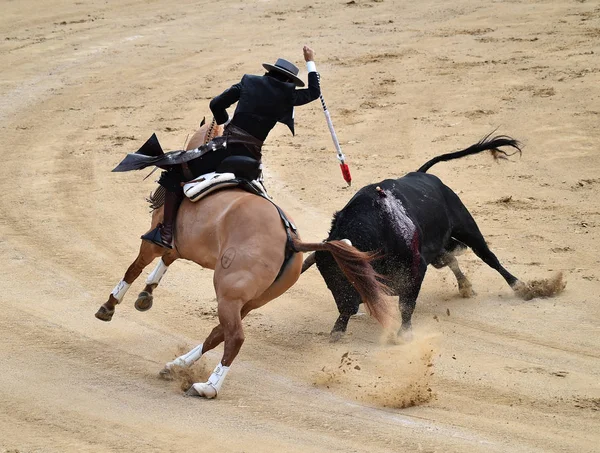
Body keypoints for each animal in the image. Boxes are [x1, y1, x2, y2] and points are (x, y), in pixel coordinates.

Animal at [95, 121, 394, 400]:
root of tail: (291, 240)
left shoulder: (153, 241)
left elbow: (134, 268)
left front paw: (109, 305)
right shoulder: (179, 247)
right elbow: (164, 261)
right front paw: (146, 294)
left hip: (228, 292)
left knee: (234, 337)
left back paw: (206, 387)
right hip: (251, 301)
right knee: (220, 332)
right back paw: (177, 365)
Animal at [304, 134, 524, 340]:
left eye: (349, 276)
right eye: (328, 280)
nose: (348, 308)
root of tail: (422, 174)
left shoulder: (415, 269)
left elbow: (406, 304)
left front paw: (404, 333)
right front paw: (338, 329)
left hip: (466, 227)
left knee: (488, 257)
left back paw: (519, 286)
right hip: (437, 249)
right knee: (450, 258)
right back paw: (465, 285)